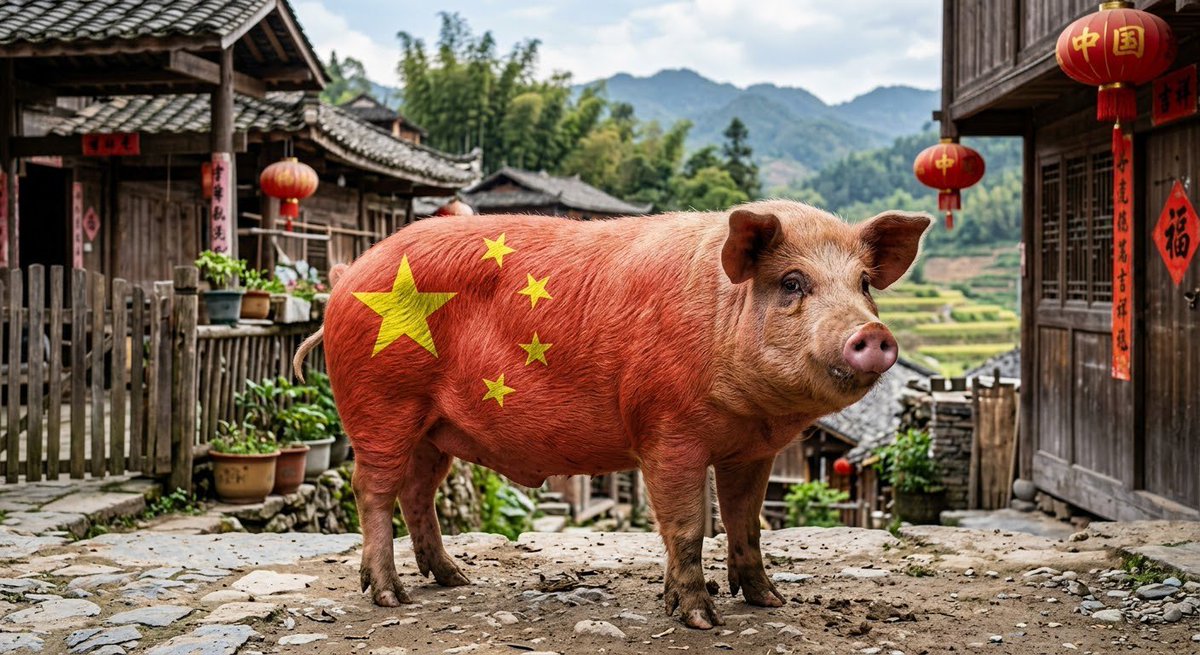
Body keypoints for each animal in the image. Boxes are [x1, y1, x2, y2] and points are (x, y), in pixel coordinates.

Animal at [293, 200, 930, 629]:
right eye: (793, 283)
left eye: (865, 283)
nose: (872, 333)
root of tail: (346, 281)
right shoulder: (666, 430)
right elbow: (687, 526)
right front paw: (700, 619)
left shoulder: (752, 450)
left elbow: (744, 523)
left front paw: (769, 601)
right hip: (381, 404)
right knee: (372, 490)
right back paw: (389, 596)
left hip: (433, 428)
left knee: (417, 491)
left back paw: (455, 579)